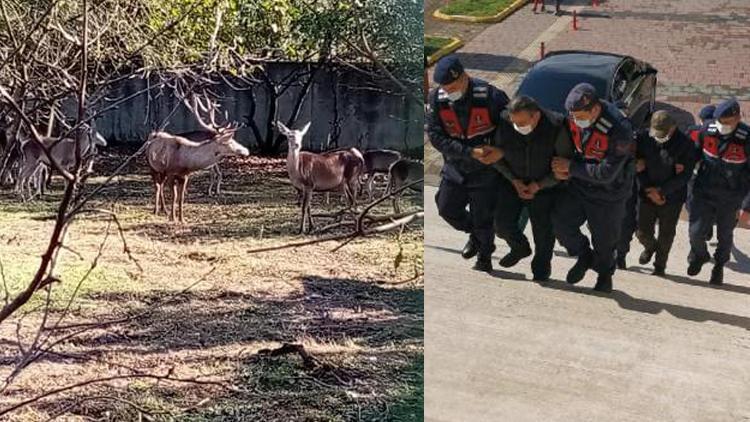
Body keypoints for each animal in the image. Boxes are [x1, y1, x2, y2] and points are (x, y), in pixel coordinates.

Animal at [147, 90, 250, 224]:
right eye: (230, 141)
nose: (246, 151)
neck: (184, 161)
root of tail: (152, 135)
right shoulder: (170, 172)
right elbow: (174, 196)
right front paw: (172, 218)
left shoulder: (184, 176)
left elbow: (181, 197)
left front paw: (182, 219)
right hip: (152, 166)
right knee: (157, 186)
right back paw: (156, 210)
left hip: (162, 171)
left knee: (161, 185)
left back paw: (164, 210)